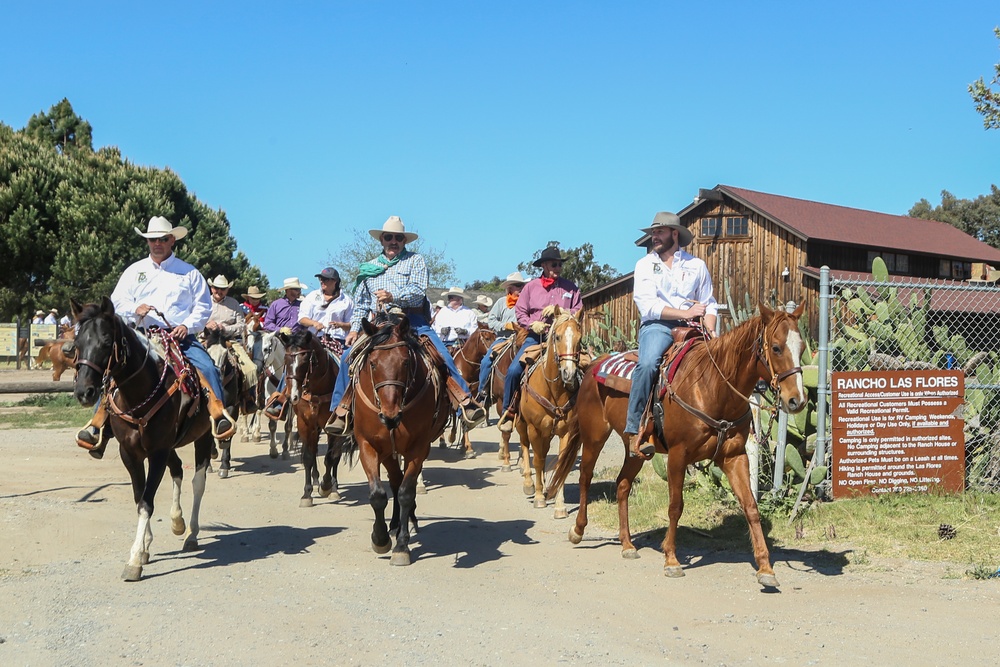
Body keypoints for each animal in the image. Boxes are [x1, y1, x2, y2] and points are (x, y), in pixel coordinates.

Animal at [71, 300, 219, 580]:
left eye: (106, 341)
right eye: (76, 343)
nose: (84, 392)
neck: (140, 394)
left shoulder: (158, 451)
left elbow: (146, 502)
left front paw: (134, 559)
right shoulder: (130, 453)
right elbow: (140, 496)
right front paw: (145, 547)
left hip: (203, 438)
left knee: (198, 483)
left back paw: (191, 534)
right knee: (177, 470)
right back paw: (177, 521)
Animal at [284, 332, 350, 508]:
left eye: (305, 360)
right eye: (286, 359)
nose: (292, 396)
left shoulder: (333, 426)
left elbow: (330, 457)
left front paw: (326, 486)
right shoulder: (305, 423)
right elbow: (308, 456)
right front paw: (306, 494)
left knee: (335, 455)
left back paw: (333, 486)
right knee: (313, 451)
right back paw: (315, 478)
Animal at [348, 316, 450, 568]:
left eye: (405, 362)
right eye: (373, 363)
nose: (389, 416)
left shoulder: (418, 448)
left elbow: (406, 492)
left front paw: (402, 547)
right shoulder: (368, 445)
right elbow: (378, 494)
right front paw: (380, 538)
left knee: (403, 483)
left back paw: (407, 522)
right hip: (387, 452)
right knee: (394, 480)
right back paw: (393, 525)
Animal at [516, 308, 584, 520]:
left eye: (579, 338)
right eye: (558, 336)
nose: (569, 373)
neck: (553, 391)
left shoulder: (566, 432)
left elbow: (560, 464)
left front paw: (560, 505)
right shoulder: (534, 429)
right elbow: (537, 461)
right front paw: (539, 497)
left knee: (544, 454)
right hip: (522, 425)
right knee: (526, 448)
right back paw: (530, 484)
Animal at [544, 306, 808, 588]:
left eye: (802, 347)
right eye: (777, 348)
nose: (797, 400)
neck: (712, 388)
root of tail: (594, 364)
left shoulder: (734, 457)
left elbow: (750, 506)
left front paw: (765, 567)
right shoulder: (678, 456)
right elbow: (675, 506)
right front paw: (671, 559)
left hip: (636, 450)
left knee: (622, 484)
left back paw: (627, 544)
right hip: (594, 436)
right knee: (585, 477)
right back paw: (577, 529)